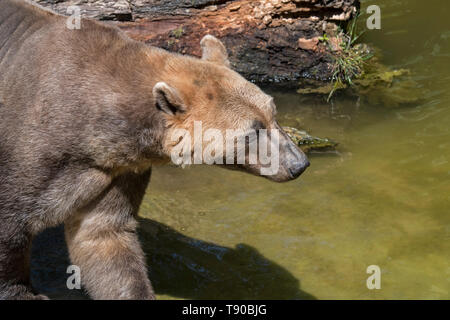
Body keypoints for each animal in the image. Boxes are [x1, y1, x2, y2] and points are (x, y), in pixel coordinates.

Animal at [0, 0, 310, 300]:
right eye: (251, 131)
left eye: (272, 113)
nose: (299, 164)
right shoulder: (35, 149)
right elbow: (12, 221)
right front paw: (23, 293)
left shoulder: (118, 169)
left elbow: (104, 236)